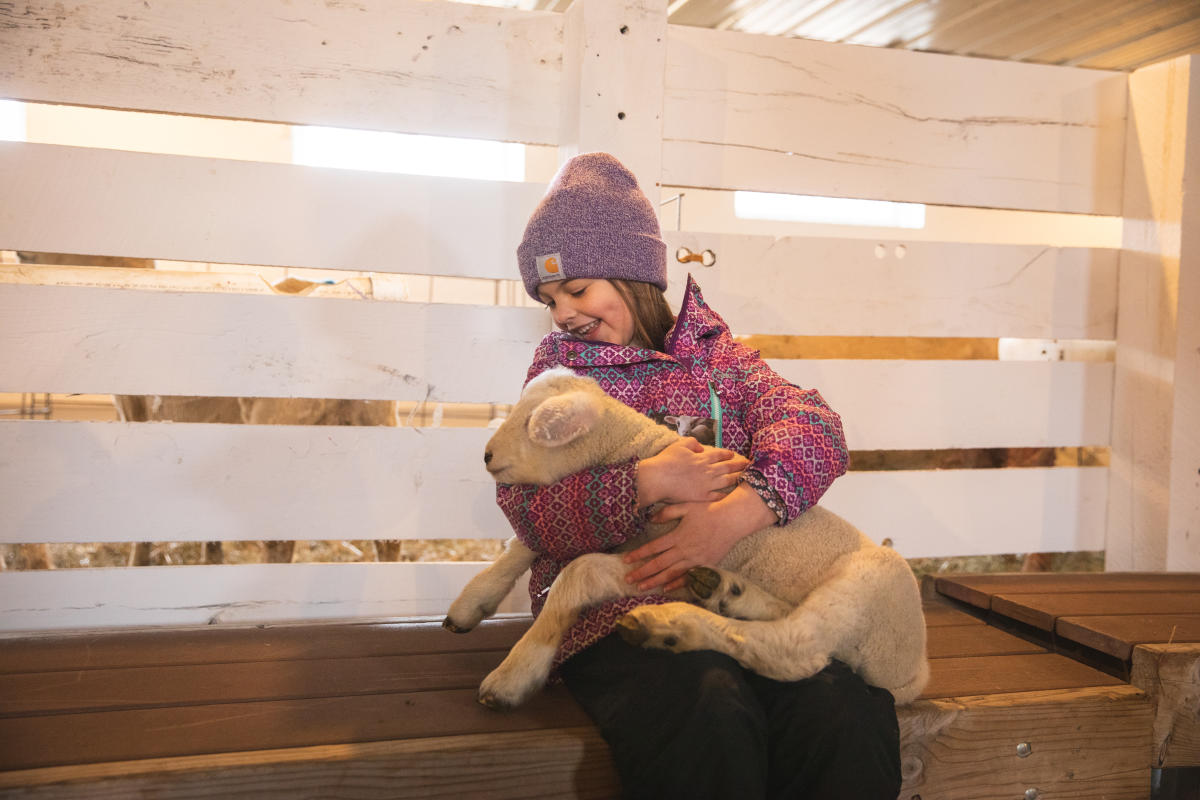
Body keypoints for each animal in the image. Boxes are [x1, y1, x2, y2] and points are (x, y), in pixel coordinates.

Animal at [444, 367, 926, 705]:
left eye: (536, 424)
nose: (486, 456)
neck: (640, 449)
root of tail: (914, 672)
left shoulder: (657, 557)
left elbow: (578, 574)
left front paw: (513, 674)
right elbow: (529, 540)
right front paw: (470, 604)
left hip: (868, 584)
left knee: (797, 648)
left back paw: (672, 626)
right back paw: (727, 593)